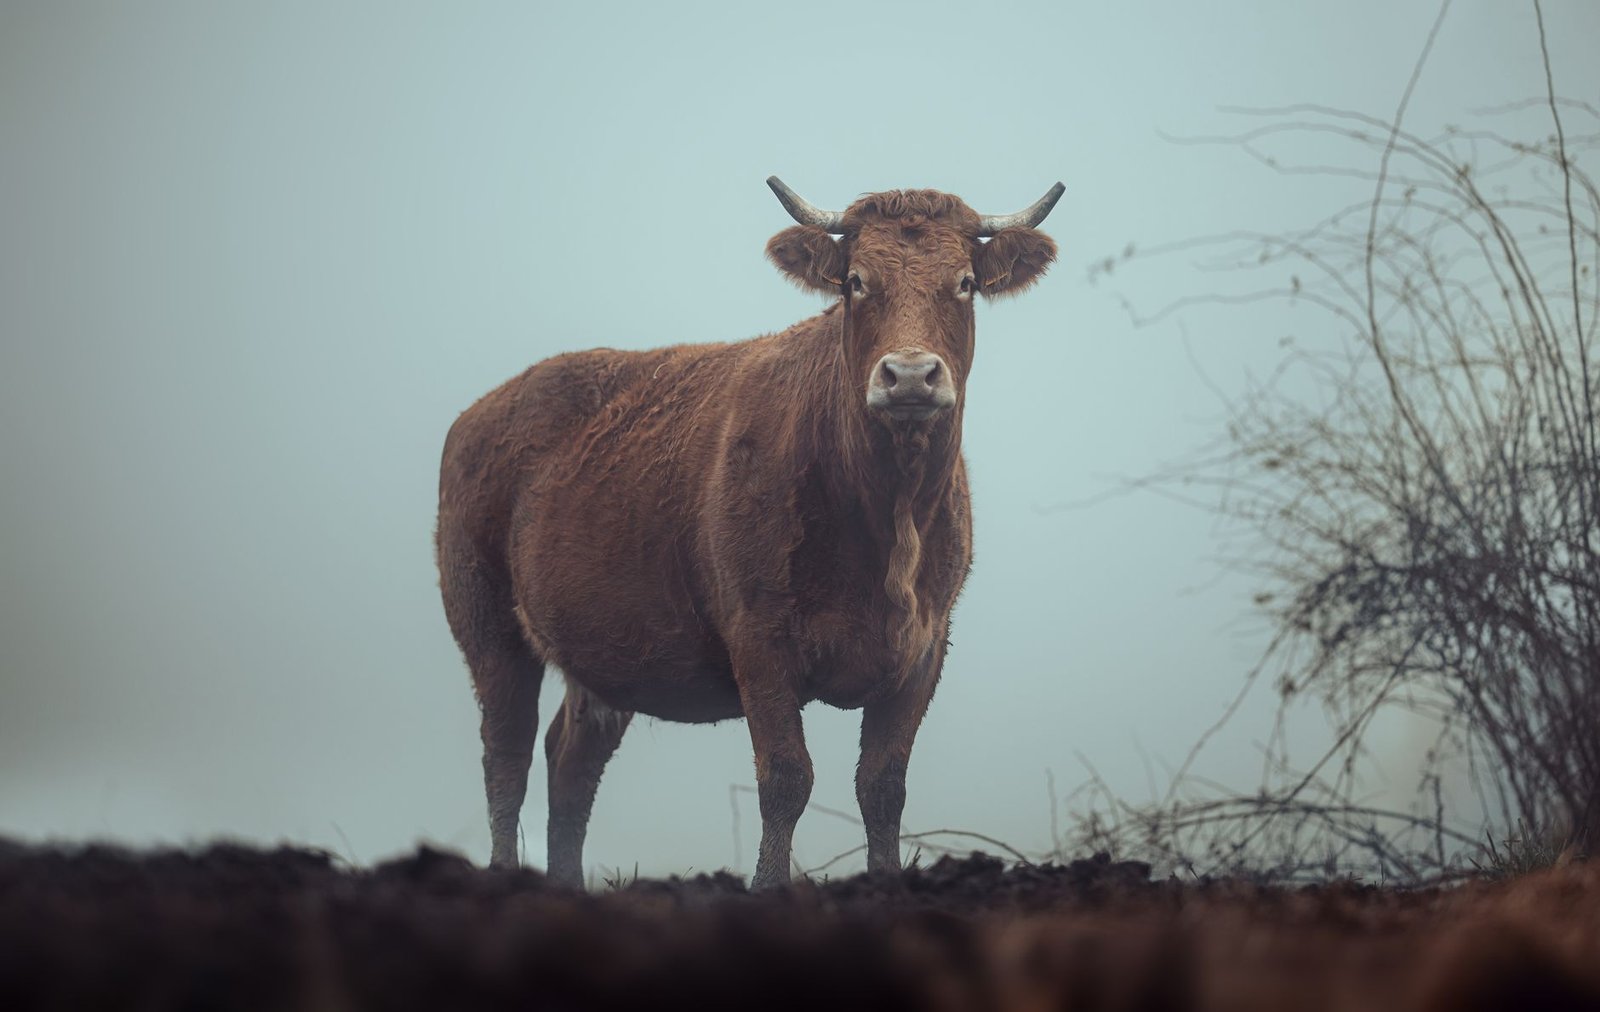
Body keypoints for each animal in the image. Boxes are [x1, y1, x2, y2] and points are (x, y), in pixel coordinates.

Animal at [436, 178, 1062, 888]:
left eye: (964, 282)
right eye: (855, 282)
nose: (908, 375)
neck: (888, 521)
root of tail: (484, 409)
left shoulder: (924, 647)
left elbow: (882, 786)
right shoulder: (758, 637)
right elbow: (786, 779)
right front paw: (768, 888)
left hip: (601, 651)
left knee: (570, 762)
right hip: (487, 624)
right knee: (506, 756)